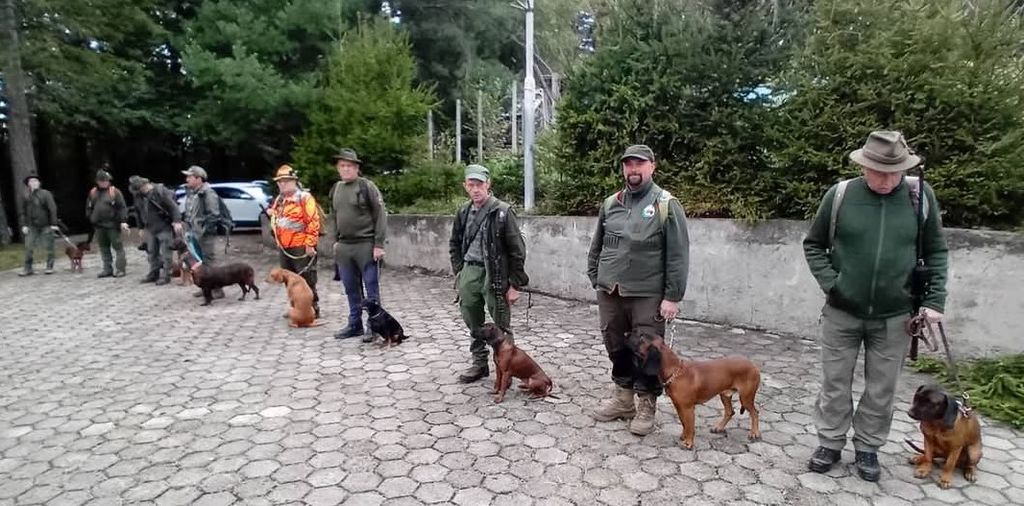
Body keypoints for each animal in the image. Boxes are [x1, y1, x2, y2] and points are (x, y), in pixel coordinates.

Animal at [627, 331, 761, 449]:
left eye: (641, 337)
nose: (625, 334)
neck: (675, 371)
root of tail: (754, 366)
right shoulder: (679, 406)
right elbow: (684, 424)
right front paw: (684, 436)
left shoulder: (688, 408)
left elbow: (690, 426)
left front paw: (688, 443)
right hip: (725, 395)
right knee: (730, 412)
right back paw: (719, 427)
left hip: (746, 397)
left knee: (755, 413)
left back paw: (754, 433)